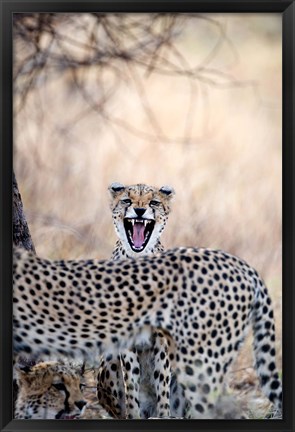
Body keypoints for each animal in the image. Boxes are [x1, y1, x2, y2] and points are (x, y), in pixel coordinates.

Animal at [98, 182, 179, 418]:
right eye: (127, 200)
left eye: (154, 202)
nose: (140, 210)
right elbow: (131, 382)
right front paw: (133, 415)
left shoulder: (162, 336)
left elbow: (162, 380)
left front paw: (164, 415)